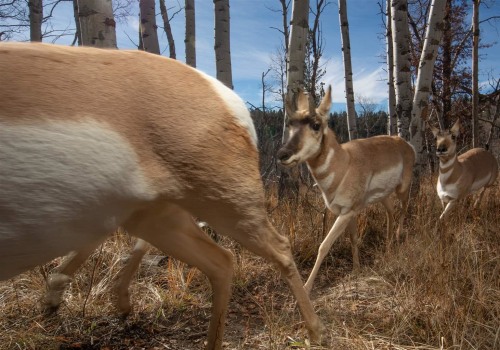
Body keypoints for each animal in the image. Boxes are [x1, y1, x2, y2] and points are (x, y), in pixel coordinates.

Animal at [0, 43, 324, 350]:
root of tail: (225, 96)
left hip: (224, 206)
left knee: (277, 248)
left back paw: (315, 331)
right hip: (154, 216)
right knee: (221, 261)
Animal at [278, 86, 414, 294]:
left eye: (316, 124)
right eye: (290, 123)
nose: (282, 154)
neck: (344, 164)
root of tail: (406, 143)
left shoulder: (347, 212)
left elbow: (324, 245)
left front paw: (306, 288)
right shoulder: (349, 211)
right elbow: (353, 238)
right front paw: (357, 269)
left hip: (402, 187)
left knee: (405, 205)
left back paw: (399, 236)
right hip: (383, 196)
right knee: (391, 212)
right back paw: (389, 245)